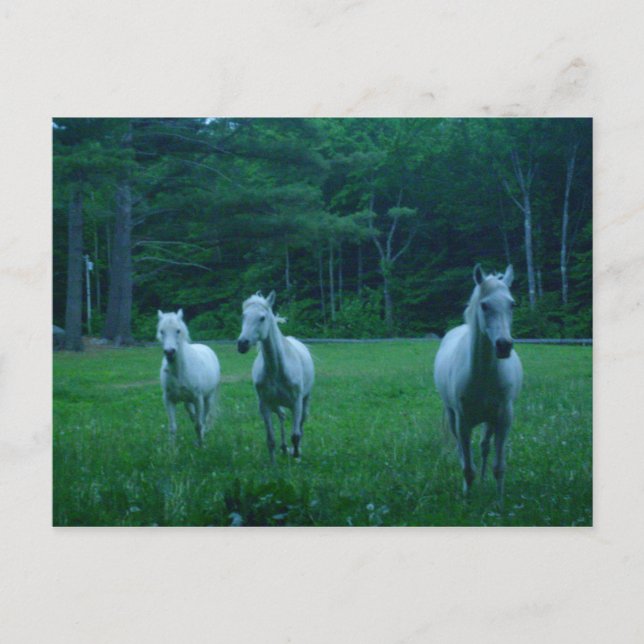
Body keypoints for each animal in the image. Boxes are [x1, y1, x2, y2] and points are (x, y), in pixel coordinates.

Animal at [157, 309, 221, 446]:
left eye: (178, 330)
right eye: (162, 331)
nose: (169, 352)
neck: (179, 372)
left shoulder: (198, 399)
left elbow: (199, 424)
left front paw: (201, 445)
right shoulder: (168, 400)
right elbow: (172, 427)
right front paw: (172, 449)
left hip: (208, 398)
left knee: (204, 418)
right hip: (187, 401)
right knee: (192, 414)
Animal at [237, 291, 314, 463]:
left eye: (262, 318)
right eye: (243, 316)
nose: (242, 344)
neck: (277, 370)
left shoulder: (296, 402)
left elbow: (296, 435)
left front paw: (296, 455)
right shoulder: (264, 404)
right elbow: (270, 439)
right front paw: (273, 464)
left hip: (304, 401)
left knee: (301, 423)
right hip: (275, 404)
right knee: (282, 416)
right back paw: (284, 448)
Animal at [433, 264, 523, 505]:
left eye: (512, 304)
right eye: (484, 305)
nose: (504, 346)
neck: (482, 376)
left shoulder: (503, 419)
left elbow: (499, 466)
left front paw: (499, 503)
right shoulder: (462, 422)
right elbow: (467, 467)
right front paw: (466, 499)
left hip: (489, 420)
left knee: (484, 448)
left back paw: (483, 481)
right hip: (452, 416)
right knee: (462, 452)